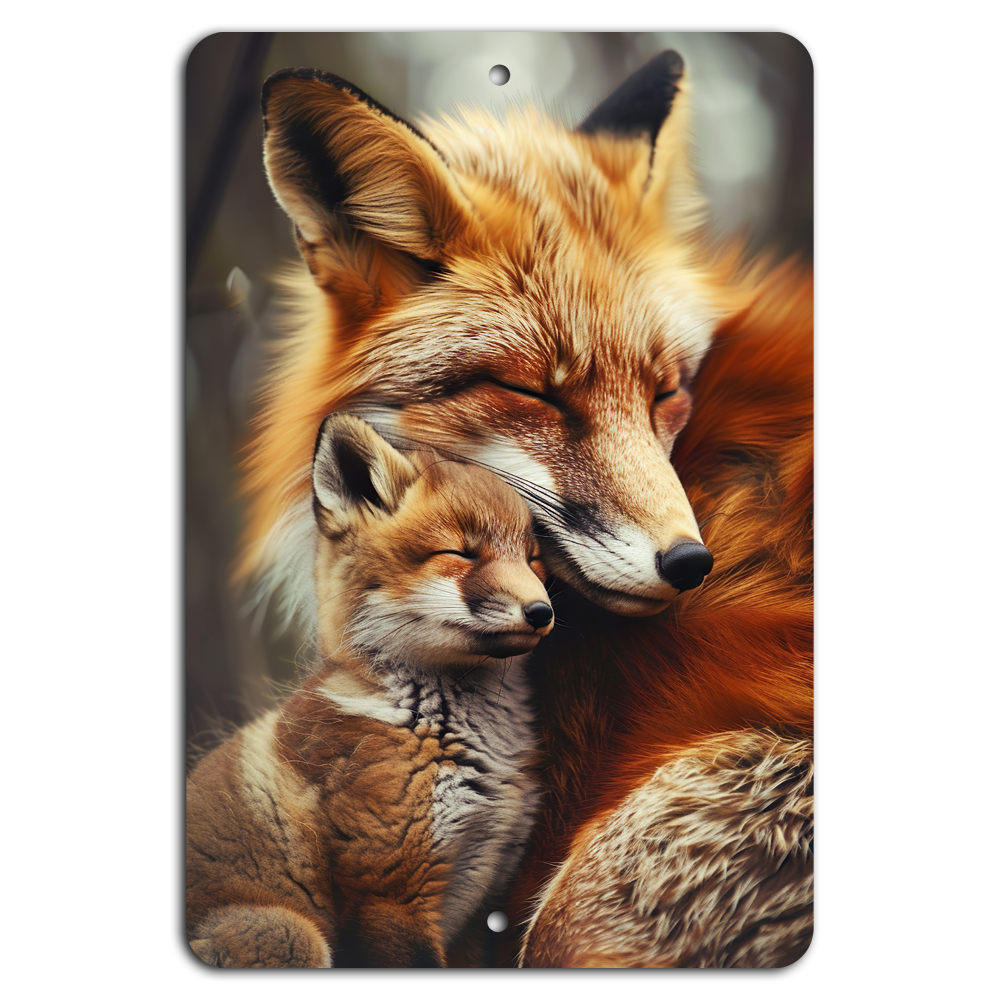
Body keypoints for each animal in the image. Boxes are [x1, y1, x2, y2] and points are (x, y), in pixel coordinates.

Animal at [188, 413, 552, 968]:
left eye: (533, 561)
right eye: (460, 553)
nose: (542, 612)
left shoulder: (478, 900)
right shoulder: (390, 896)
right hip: (292, 934)